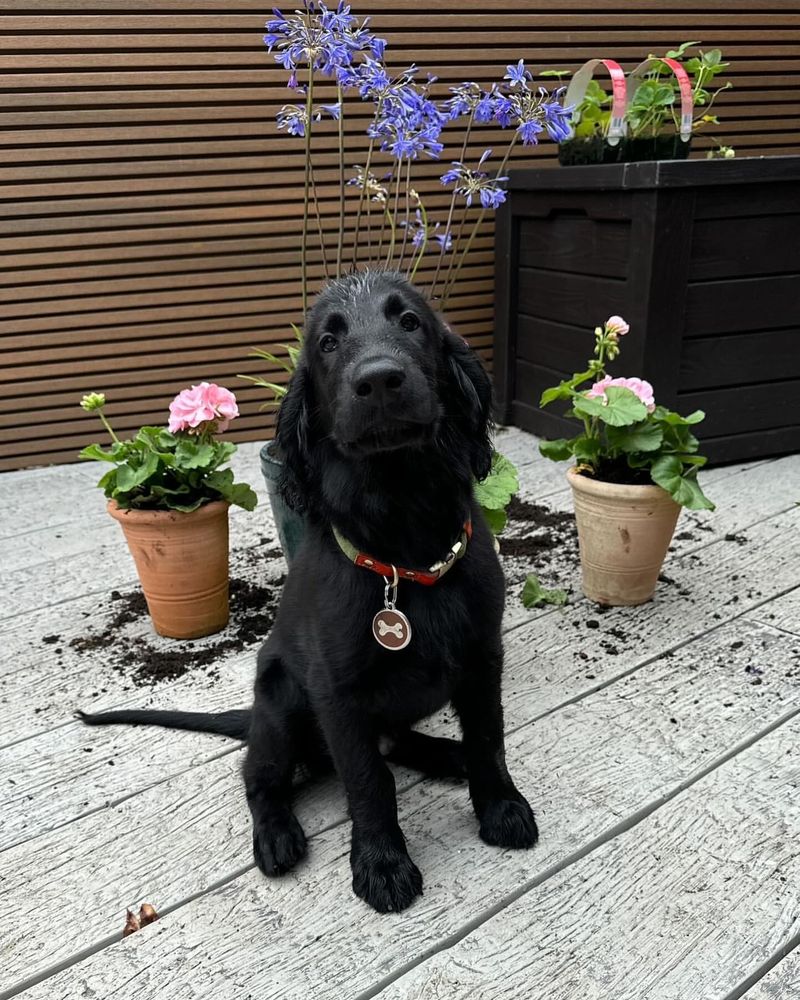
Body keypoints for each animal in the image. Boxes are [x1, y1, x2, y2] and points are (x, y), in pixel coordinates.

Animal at [83, 270, 536, 912]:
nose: (379, 379)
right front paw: (382, 865)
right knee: (260, 776)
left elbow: (488, 740)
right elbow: (369, 781)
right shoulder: (336, 691)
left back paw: (446, 756)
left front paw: (500, 806)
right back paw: (276, 836)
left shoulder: (481, 659)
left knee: (396, 741)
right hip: (280, 706)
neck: (404, 548)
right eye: (327, 342)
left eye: (410, 322)